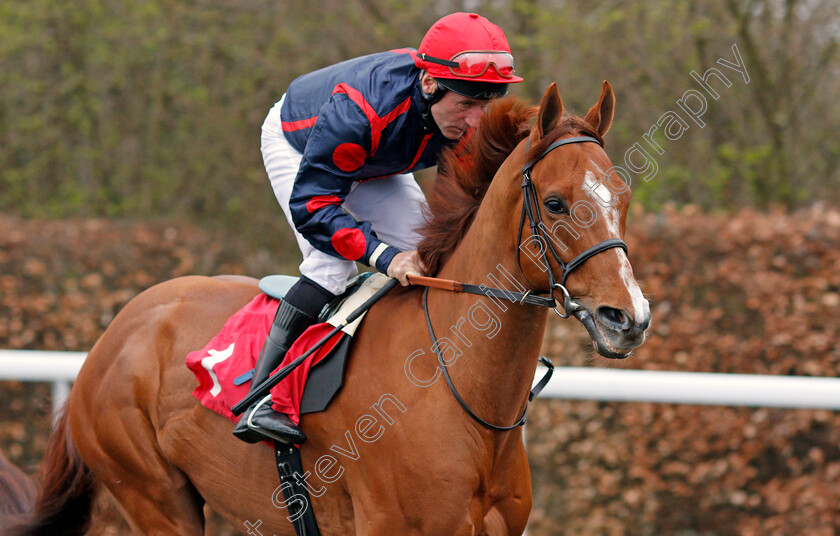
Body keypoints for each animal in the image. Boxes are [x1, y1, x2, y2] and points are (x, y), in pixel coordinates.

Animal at [3, 81, 648, 532]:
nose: (628, 318)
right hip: (154, 496)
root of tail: (116, 330)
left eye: (622, 196)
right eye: (557, 203)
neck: (458, 391)